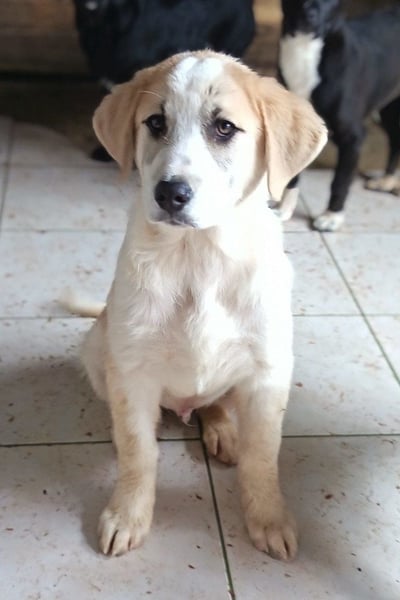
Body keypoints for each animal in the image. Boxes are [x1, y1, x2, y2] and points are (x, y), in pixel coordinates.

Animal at [66, 50, 326, 559]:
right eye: (155, 123)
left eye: (224, 128)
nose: (170, 193)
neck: (199, 255)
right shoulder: (131, 366)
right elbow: (139, 451)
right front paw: (127, 515)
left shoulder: (268, 373)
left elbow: (262, 457)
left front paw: (268, 520)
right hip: (98, 349)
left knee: (216, 404)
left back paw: (223, 430)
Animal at [278, 0, 400, 231]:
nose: (309, 14)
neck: (305, 48)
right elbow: (292, 174)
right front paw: (284, 207)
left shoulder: (353, 137)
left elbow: (340, 181)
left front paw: (332, 215)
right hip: (388, 109)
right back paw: (388, 180)